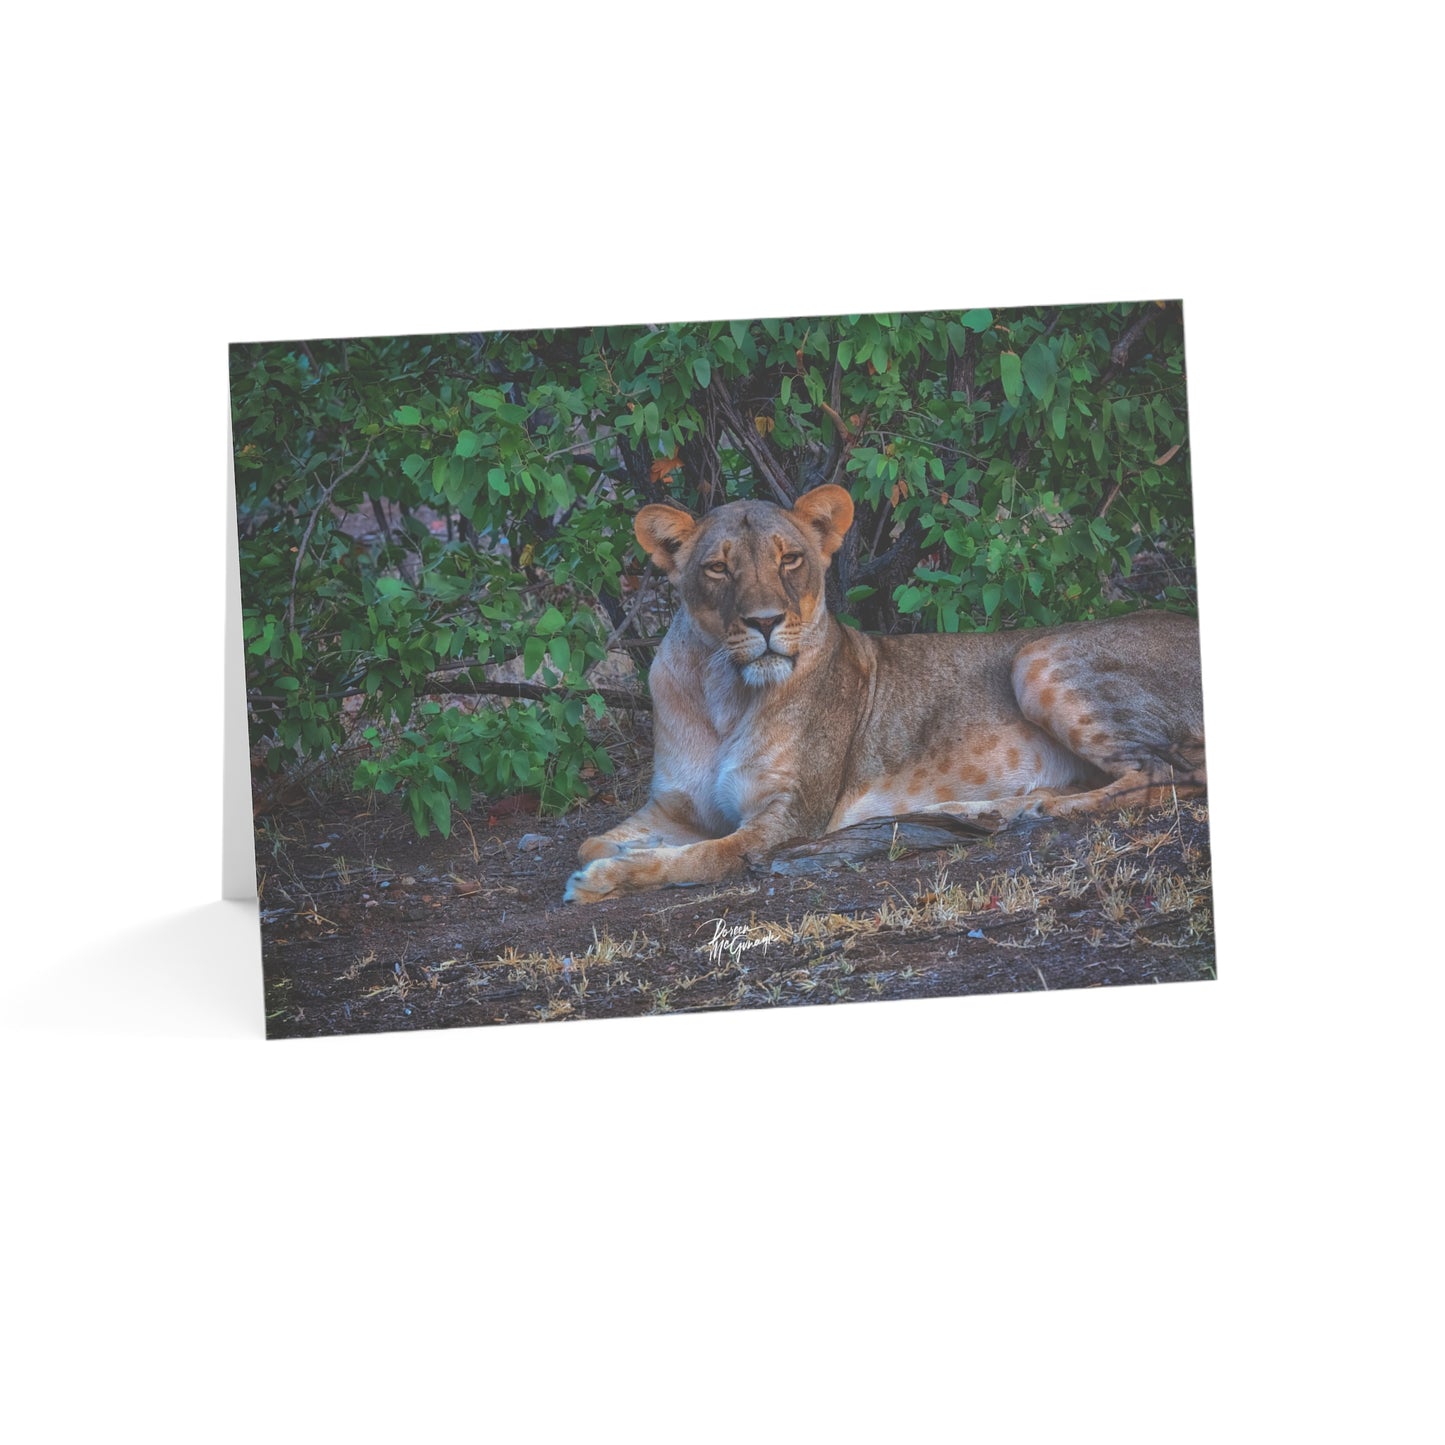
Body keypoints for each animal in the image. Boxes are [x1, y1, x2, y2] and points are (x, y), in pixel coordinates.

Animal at [564, 483, 1204, 904]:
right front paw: (612, 857)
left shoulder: (788, 819)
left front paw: (606, 880)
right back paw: (989, 810)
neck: (724, 690)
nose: (765, 622)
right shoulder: (673, 806)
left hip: (1034, 656)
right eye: (718, 569)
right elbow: (590, 843)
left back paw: (1039, 809)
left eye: (790, 559)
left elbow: (704, 855)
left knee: (1165, 775)